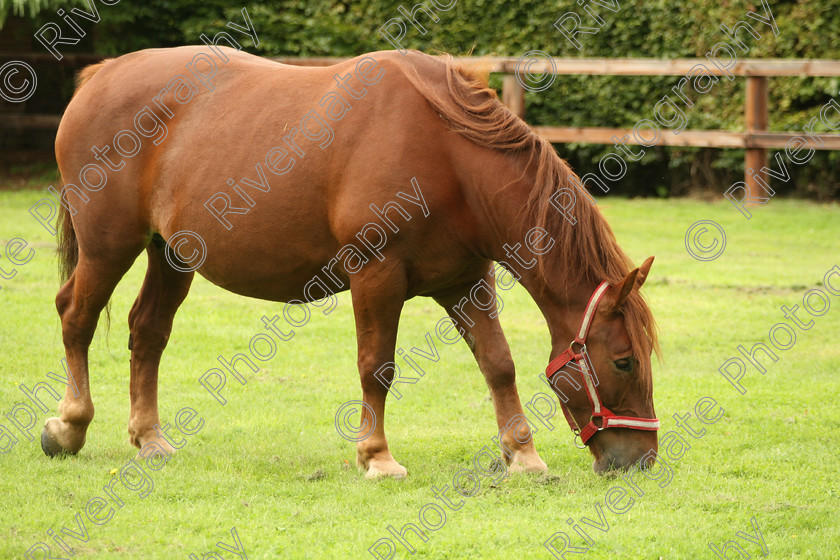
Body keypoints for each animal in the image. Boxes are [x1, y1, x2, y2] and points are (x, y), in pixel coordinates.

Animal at [49, 46, 660, 476]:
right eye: (625, 362)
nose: (643, 459)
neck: (447, 156)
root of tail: (101, 75)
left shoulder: (466, 282)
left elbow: (498, 362)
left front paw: (522, 455)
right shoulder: (376, 275)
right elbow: (377, 367)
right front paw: (377, 456)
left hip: (171, 255)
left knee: (147, 332)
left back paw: (149, 438)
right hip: (108, 247)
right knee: (75, 317)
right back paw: (68, 427)